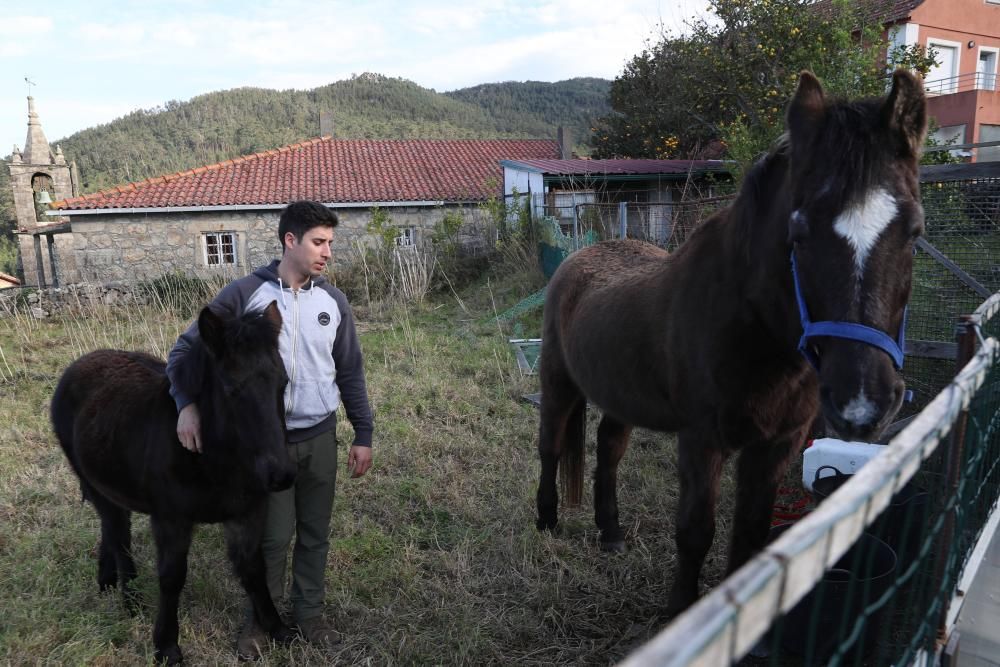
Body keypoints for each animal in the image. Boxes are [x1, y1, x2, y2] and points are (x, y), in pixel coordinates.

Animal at [52, 306, 296, 664]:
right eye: (231, 388)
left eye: (283, 383)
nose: (280, 474)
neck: (213, 459)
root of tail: (79, 364)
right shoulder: (171, 520)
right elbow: (171, 577)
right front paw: (166, 645)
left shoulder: (247, 513)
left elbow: (253, 569)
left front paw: (278, 628)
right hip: (94, 484)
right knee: (118, 533)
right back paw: (130, 598)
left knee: (111, 528)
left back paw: (107, 580)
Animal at [536, 72, 924, 616]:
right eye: (798, 233)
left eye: (914, 231)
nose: (861, 403)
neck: (752, 329)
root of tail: (576, 259)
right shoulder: (703, 440)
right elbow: (695, 531)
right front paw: (681, 611)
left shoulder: (775, 446)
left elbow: (750, 538)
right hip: (559, 383)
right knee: (550, 446)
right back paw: (546, 522)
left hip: (621, 394)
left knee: (609, 448)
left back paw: (610, 532)